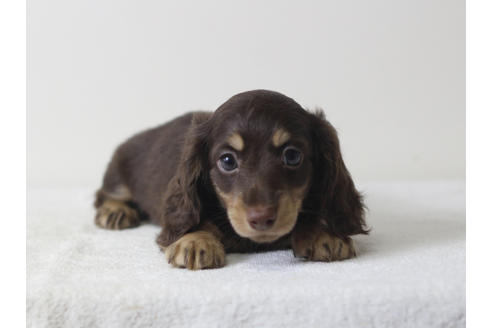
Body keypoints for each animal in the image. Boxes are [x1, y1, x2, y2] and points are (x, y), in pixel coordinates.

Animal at [94, 89, 368, 270]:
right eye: (227, 161)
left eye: (292, 156)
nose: (261, 218)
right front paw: (194, 239)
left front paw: (323, 232)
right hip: (118, 174)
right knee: (105, 195)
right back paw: (116, 211)